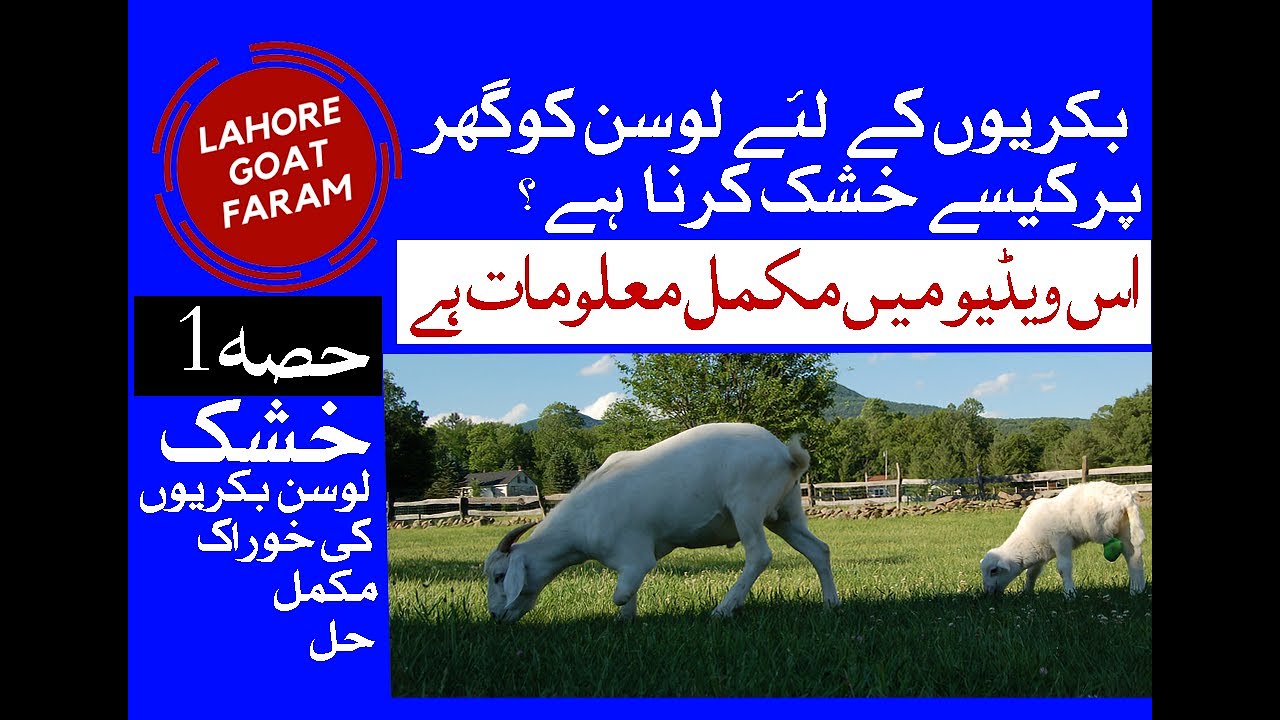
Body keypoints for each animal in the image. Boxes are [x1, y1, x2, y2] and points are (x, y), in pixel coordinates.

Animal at [483, 423, 841, 621]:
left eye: (500, 576)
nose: (495, 616)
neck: (581, 521)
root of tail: (786, 455)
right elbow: (628, 597)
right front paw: (626, 620)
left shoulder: (635, 555)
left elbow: (622, 593)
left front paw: (623, 609)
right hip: (786, 512)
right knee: (818, 549)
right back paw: (830, 604)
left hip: (747, 506)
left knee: (759, 555)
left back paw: (724, 609)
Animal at [980, 480, 1147, 597]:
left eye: (993, 571)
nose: (987, 593)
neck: (1028, 538)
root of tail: (1126, 497)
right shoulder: (1041, 554)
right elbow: (1031, 573)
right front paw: (1026, 592)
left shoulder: (1061, 541)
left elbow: (1063, 568)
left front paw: (1070, 594)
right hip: (1126, 529)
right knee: (1134, 556)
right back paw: (1136, 590)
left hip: (1102, 526)